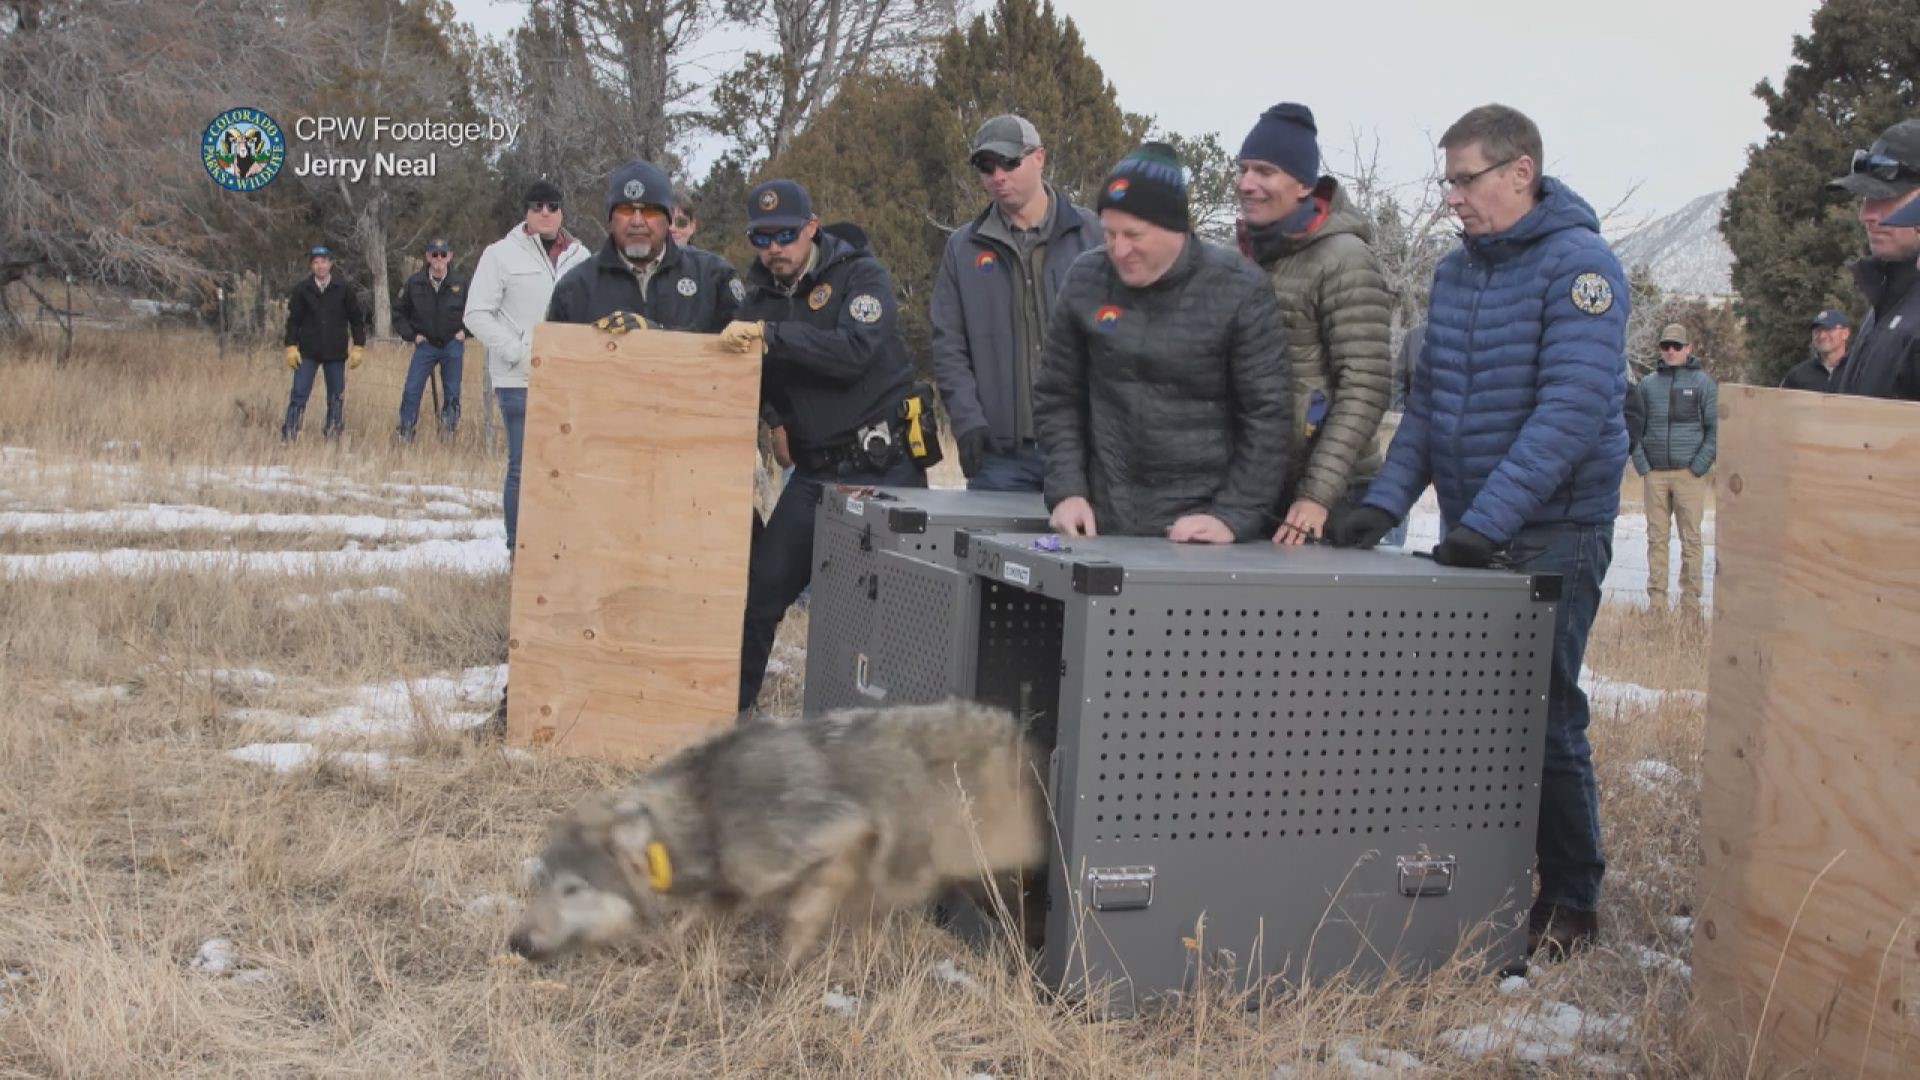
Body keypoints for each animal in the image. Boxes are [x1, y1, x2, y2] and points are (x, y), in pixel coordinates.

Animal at [510, 691, 1044, 960]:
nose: (515, 943)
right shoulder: (727, 889)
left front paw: (780, 973)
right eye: (540, 882)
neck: (707, 811)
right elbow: (690, 923)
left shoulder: (842, 833)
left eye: (573, 888)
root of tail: (1021, 730)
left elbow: (803, 913)